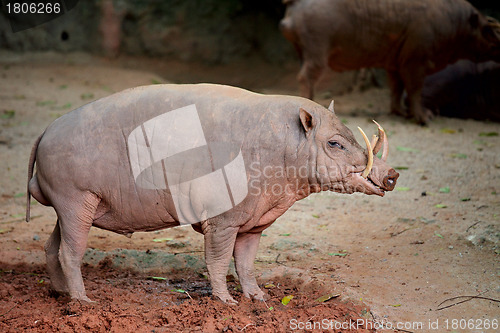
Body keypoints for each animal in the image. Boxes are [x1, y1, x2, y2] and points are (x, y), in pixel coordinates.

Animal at [26, 82, 398, 300]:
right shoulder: (223, 219)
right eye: (334, 143)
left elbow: (246, 263)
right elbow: (218, 262)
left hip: (68, 205)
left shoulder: (253, 223)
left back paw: (59, 294)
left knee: (51, 247)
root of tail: (44, 131)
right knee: (70, 252)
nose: (392, 175)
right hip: (75, 197)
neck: (284, 151)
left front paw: (258, 299)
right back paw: (81, 301)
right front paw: (227, 302)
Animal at [280, 0, 500, 124]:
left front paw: (399, 112)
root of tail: (294, 6)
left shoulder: (396, 61)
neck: (458, 24)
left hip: (303, 51)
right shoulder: (415, 59)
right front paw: (423, 117)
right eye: (488, 32)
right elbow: (414, 88)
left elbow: (396, 86)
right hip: (317, 48)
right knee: (306, 76)